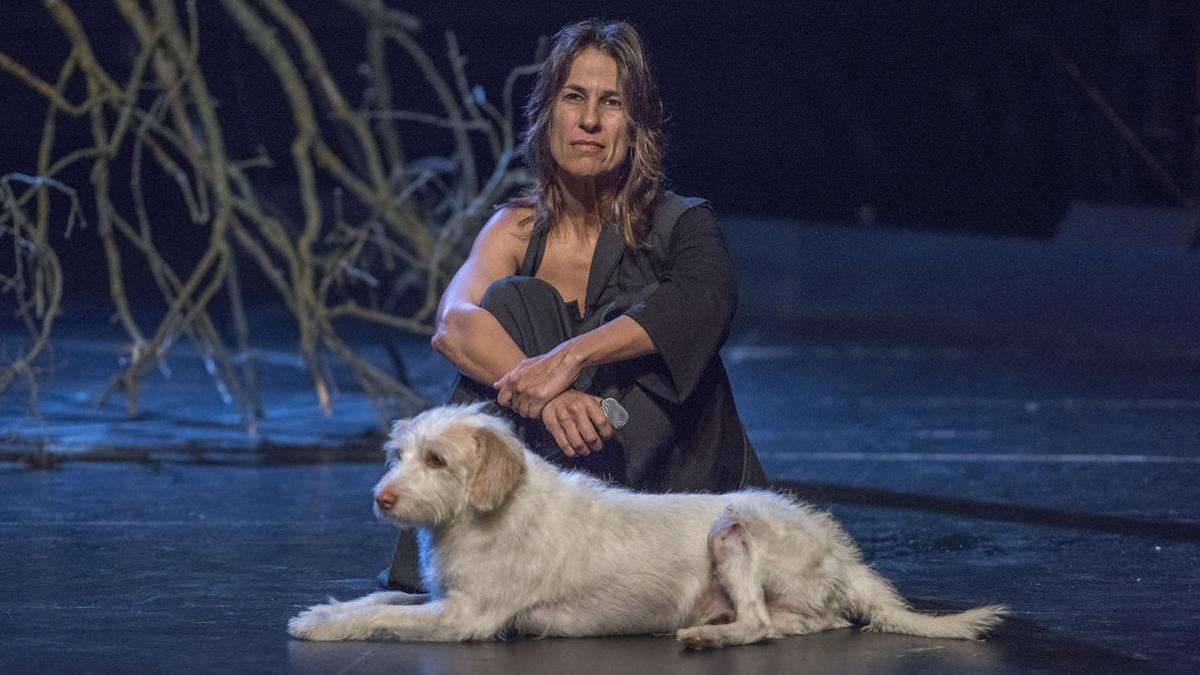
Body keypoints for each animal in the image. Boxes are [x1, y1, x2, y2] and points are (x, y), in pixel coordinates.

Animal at [285, 401, 1008, 643]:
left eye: (436, 459)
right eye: (398, 455)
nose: (382, 498)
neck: (490, 510)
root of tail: (840, 553)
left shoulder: (468, 618)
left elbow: (389, 618)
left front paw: (327, 628)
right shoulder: (443, 598)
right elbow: (382, 599)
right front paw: (322, 611)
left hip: (732, 526)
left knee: (760, 625)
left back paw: (711, 637)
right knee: (803, 623)